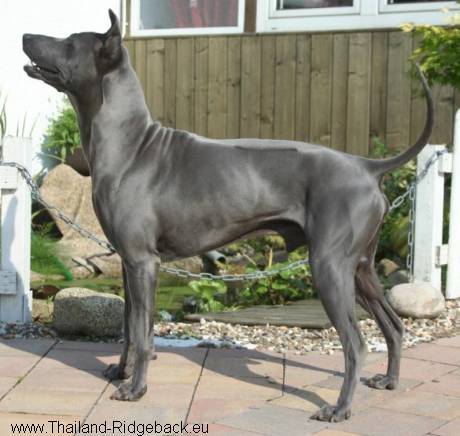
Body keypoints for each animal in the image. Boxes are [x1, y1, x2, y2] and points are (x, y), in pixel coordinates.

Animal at [23, 9, 434, 418]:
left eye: (70, 43)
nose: (25, 35)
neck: (132, 144)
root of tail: (367, 166)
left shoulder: (143, 263)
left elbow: (142, 333)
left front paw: (136, 388)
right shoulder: (127, 264)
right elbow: (128, 328)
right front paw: (120, 372)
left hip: (330, 268)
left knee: (355, 343)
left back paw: (340, 408)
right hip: (360, 268)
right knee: (394, 325)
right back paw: (389, 381)